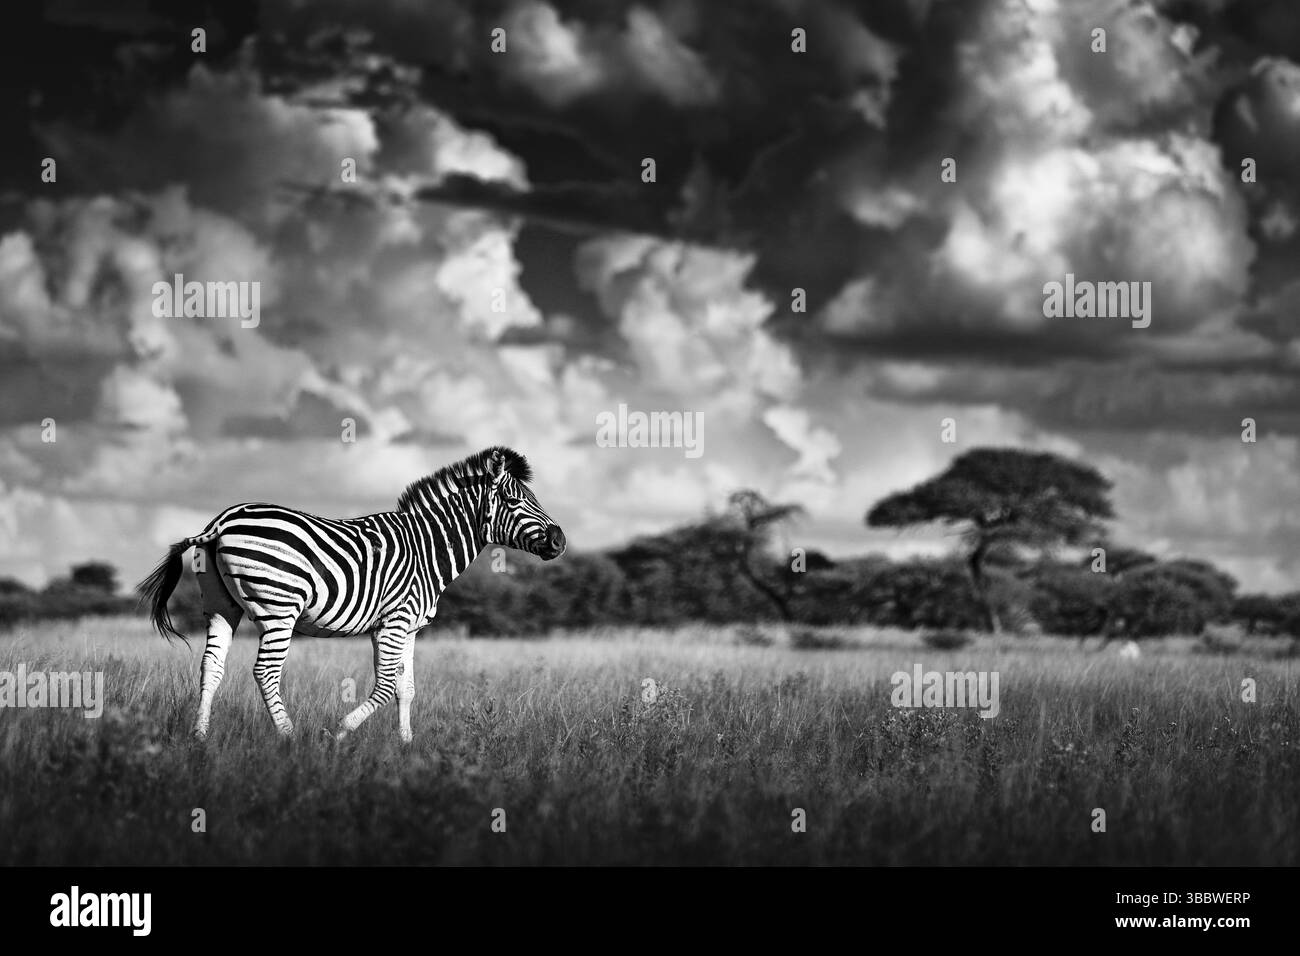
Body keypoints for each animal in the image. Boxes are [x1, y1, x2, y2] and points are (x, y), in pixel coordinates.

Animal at [137, 446, 565, 743]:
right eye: (515, 501)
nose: (560, 540)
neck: (428, 548)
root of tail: (222, 520)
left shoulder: (408, 627)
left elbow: (407, 689)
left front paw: (406, 746)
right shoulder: (394, 622)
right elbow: (387, 685)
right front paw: (340, 732)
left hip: (221, 605)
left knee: (211, 666)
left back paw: (199, 737)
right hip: (279, 607)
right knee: (265, 671)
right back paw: (288, 737)